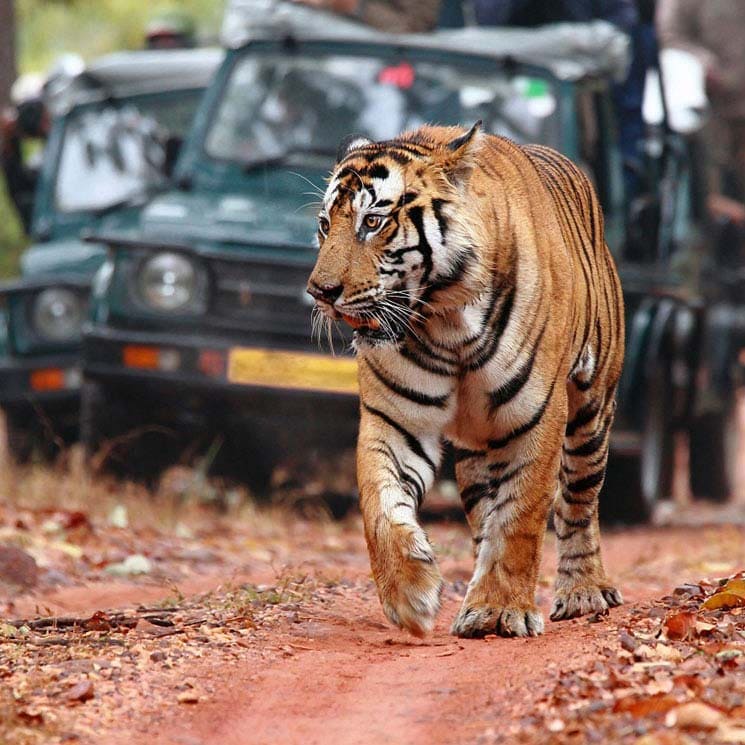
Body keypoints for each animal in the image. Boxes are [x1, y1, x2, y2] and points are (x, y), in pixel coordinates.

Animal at [306, 123, 624, 640]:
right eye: (323, 225)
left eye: (372, 222)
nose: (320, 292)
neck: (445, 321)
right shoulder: (395, 419)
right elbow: (380, 505)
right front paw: (410, 596)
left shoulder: (536, 416)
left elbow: (521, 516)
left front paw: (502, 609)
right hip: (478, 450)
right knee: (484, 514)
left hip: (591, 412)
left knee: (578, 502)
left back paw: (584, 592)